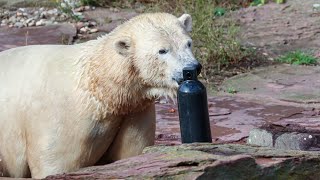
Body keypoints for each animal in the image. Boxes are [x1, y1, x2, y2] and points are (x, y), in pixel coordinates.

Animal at [0, 13, 201, 179]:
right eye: (162, 50)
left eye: (188, 43)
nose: (191, 68)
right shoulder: (61, 115)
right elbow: (57, 162)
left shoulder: (133, 111)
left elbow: (131, 152)